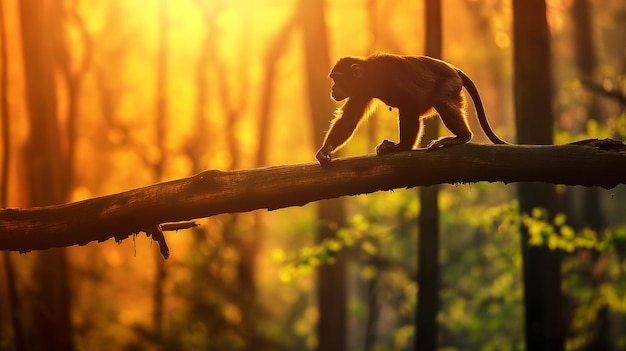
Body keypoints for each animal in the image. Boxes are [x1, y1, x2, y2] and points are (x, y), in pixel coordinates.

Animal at [314, 53, 504, 166]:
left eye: (338, 79)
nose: (333, 89)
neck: (368, 74)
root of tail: (453, 69)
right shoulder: (362, 91)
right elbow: (348, 119)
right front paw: (326, 150)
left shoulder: (386, 76)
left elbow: (409, 102)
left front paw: (402, 146)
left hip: (451, 83)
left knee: (440, 100)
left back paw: (463, 137)